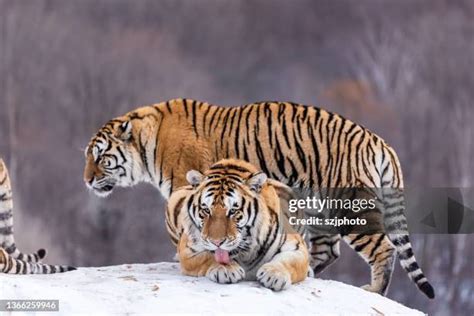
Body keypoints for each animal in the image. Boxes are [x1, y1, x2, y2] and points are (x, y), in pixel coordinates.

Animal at [168, 159, 312, 290]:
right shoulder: (188, 250)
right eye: (206, 210)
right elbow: (209, 256)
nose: (216, 242)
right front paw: (227, 269)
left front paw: (274, 274)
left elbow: (288, 261)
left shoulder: (297, 247)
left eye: (233, 211)